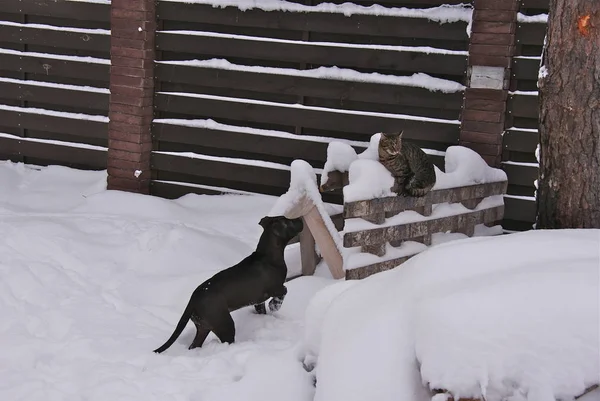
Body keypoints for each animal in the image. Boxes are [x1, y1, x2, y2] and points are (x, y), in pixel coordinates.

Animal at [152, 214, 302, 352]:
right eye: (288, 221)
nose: (300, 218)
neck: (268, 254)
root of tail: (193, 300)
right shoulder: (274, 288)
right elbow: (285, 290)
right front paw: (275, 305)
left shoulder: (258, 301)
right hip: (224, 324)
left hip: (204, 326)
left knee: (194, 345)